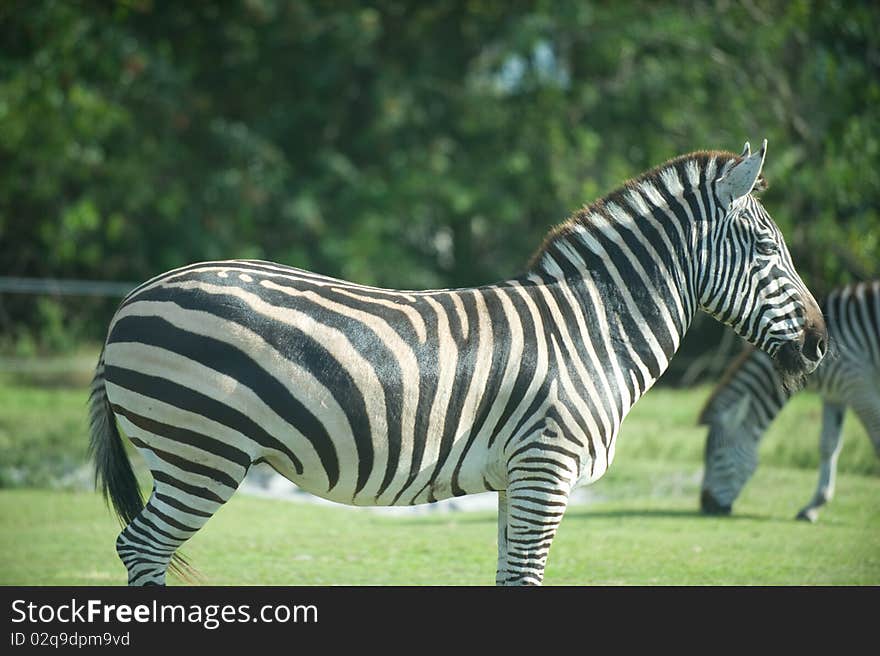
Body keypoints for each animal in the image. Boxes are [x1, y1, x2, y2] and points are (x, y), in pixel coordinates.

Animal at [87, 138, 824, 584]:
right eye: (767, 249)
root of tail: (132, 299)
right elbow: (527, 576)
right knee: (141, 547)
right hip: (201, 452)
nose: (819, 343)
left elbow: (507, 576)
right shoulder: (547, 469)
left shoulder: (517, 478)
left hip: (188, 452)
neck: (593, 332)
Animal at [700, 282, 880, 524]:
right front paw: (813, 507)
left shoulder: (858, 385)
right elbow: (828, 445)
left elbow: (876, 441)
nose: (706, 506)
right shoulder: (835, 393)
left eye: (717, 457)